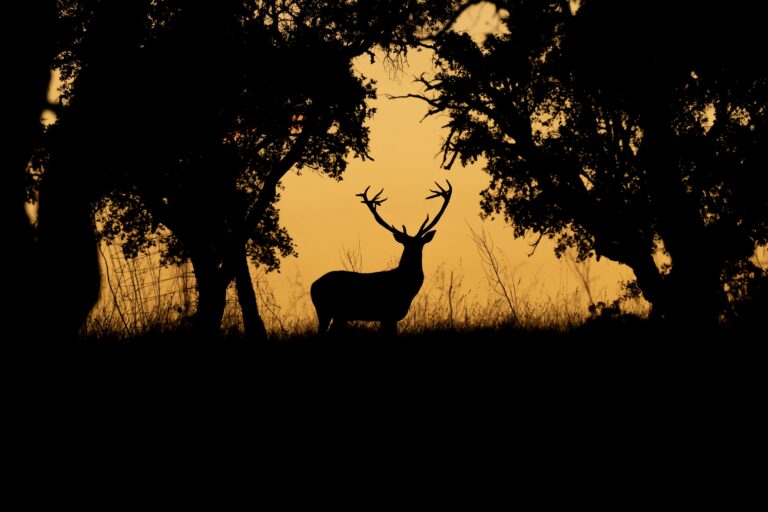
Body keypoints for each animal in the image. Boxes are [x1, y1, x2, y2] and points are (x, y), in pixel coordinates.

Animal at [311, 180, 452, 335]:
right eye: (406, 244)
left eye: (420, 244)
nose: (414, 253)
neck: (406, 286)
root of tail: (313, 286)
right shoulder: (387, 314)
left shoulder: (391, 317)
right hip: (325, 310)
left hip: (339, 315)